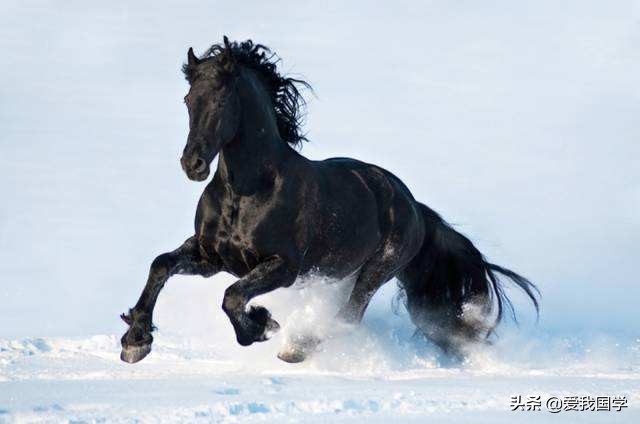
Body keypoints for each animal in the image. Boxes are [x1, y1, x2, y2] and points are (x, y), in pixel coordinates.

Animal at [121, 37, 540, 364]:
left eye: (222, 101)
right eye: (188, 99)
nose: (192, 164)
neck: (247, 192)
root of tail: (413, 207)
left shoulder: (284, 267)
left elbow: (232, 297)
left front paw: (263, 324)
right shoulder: (211, 257)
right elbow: (161, 265)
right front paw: (135, 341)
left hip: (375, 271)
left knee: (349, 316)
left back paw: (297, 347)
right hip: (343, 272)